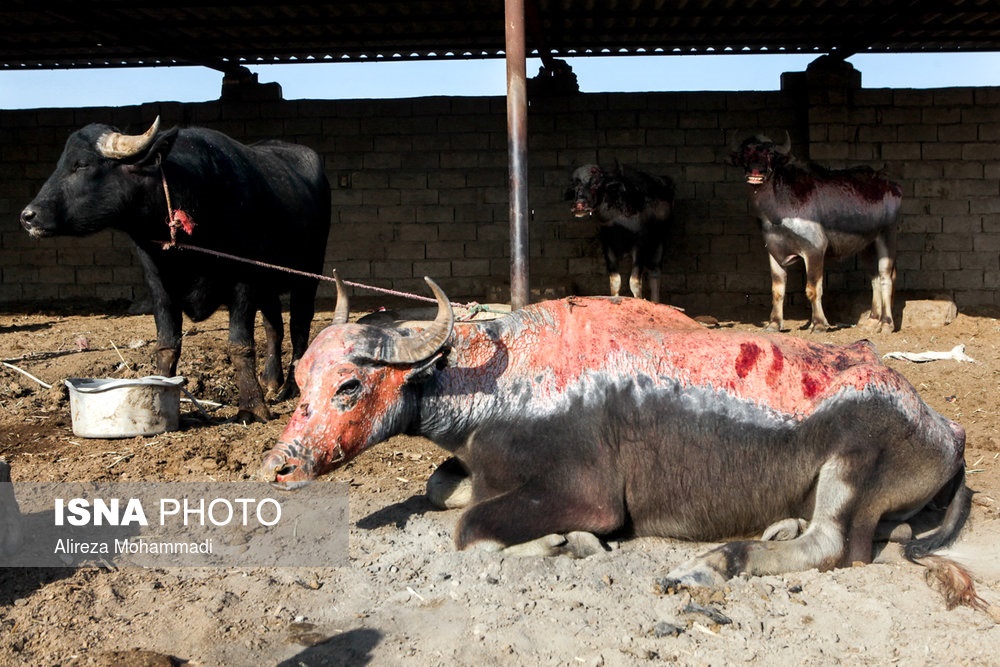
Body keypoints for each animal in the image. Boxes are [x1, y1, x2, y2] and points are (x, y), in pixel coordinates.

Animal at [20, 118, 332, 422]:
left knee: (299, 326)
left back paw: (291, 385)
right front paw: (159, 389)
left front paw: (252, 406)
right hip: (268, 284)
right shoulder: (159, 284)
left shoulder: (244, 280)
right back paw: (270, 379)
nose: (28, 216)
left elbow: (240, 345)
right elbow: (167, 344)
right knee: (273, 327)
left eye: (81, 164)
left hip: (307, 275)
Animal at [260, 276, 984, 612]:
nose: (280, 465)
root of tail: (945, 428)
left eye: (350, 385)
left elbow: (470, 528)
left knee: (835, 544)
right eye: (301, 377)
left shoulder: (588, 495)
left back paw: (711, 563)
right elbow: (442, 488)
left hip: (851, 467)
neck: (499, 376)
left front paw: (566, 542)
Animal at [732, 134, 904, 334]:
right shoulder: (774, 252)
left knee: (885, 277)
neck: (777, 213)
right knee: (874, 277)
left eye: (770, 154)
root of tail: (892, 186)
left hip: (887, 234)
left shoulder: (814, 249)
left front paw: (819, 324)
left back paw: (886, 324)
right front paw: (774, 323)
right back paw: (871, 320)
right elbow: (777, 289)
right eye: (746, 154)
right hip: (866, 246)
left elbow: (813, 288)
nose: (756, 171)